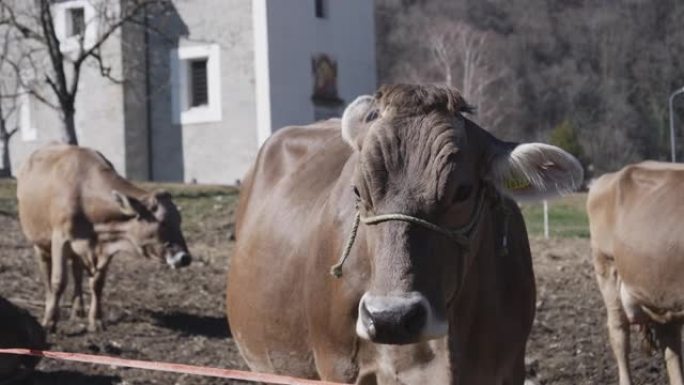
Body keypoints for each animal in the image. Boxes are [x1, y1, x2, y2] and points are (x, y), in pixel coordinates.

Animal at [17, 142, 191, 332]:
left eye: (180, 220)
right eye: (163, 223)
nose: (185, 257)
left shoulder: (105, 247)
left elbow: (97, 283)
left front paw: (96, 320)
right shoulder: (60, 240)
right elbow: (58, 281)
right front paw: (50, 321)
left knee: (77, 272)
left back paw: (78, 309)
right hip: (39, 243)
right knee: (47, 276)